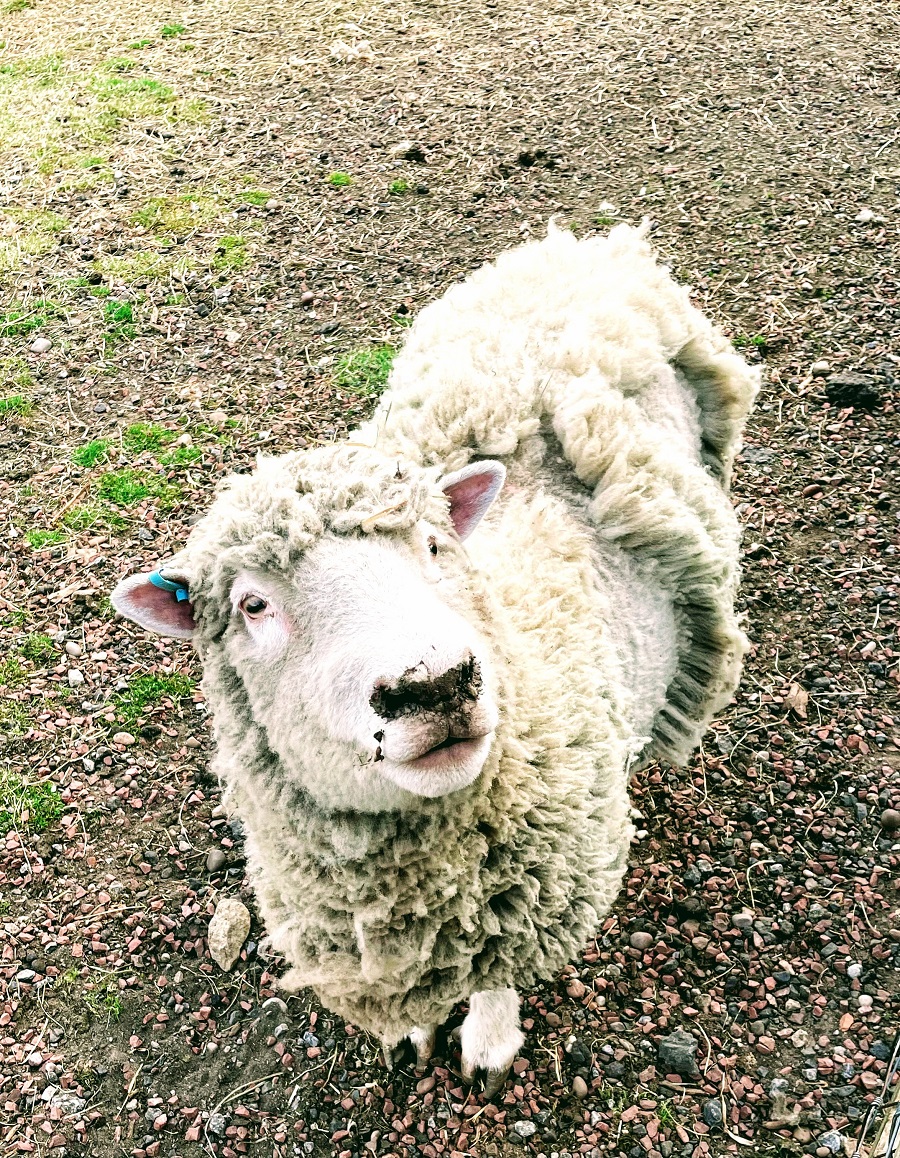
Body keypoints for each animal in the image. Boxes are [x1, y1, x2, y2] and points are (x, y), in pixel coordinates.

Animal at [111, 221, 759, 1094]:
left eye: (433, 544)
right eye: (252, 606)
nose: (436, 684)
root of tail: (594, 244)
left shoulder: (532, 892)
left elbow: (499, 972)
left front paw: (488, 1043)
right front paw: (413, 1034)